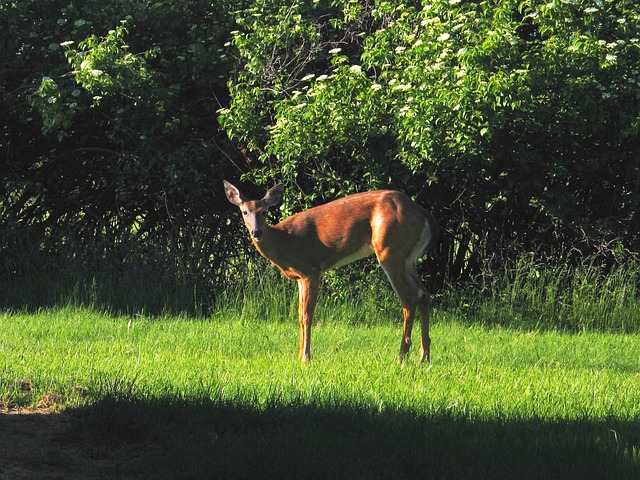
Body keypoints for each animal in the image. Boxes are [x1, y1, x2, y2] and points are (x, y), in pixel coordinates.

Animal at [222, 181, 438, 364]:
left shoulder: (311, 269)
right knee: (423, 294)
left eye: (265, 211)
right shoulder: (299, 277)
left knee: (409, 298)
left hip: (389, 249)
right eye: (244, 212)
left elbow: (307, 315)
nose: (256, 232)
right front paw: (299, 354)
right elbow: (299, 315)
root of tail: (422, 213)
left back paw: (401, 356)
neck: (285, 243)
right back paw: (424, 357)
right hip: (408, 259)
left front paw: (306, 358)